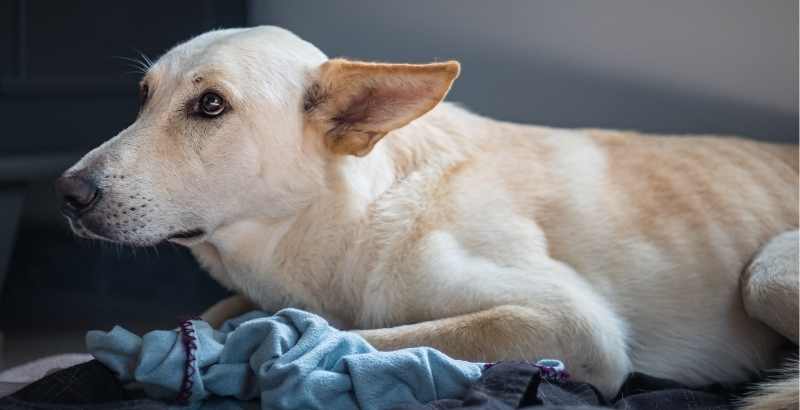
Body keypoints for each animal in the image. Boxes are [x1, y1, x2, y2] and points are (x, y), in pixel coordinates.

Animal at [56, 27, 800, 408]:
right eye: (143, 97)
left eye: (210, 105)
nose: (67, 192)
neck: (350, 217)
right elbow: (217, 312)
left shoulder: (572, 325)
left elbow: (367, 336)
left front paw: (255, 351)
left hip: (764, 274)